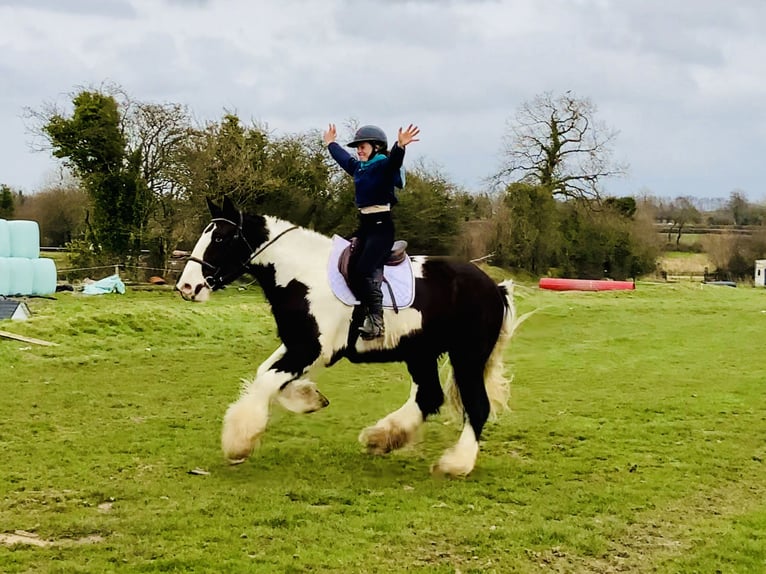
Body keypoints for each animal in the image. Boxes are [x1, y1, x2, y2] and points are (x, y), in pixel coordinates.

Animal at [176, 198, 520, 476]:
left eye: (221, 237)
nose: (186, 287)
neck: (302, 276)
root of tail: (494, 288)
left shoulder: (309, 349)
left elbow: (265, 382)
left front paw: (238, 442)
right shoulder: (300, 345)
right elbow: (267, 374)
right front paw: (309, 398)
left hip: (467, 357)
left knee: (477, 406)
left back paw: (455, 464)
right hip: (421, 354)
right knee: (429, 396)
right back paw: (381, 438)